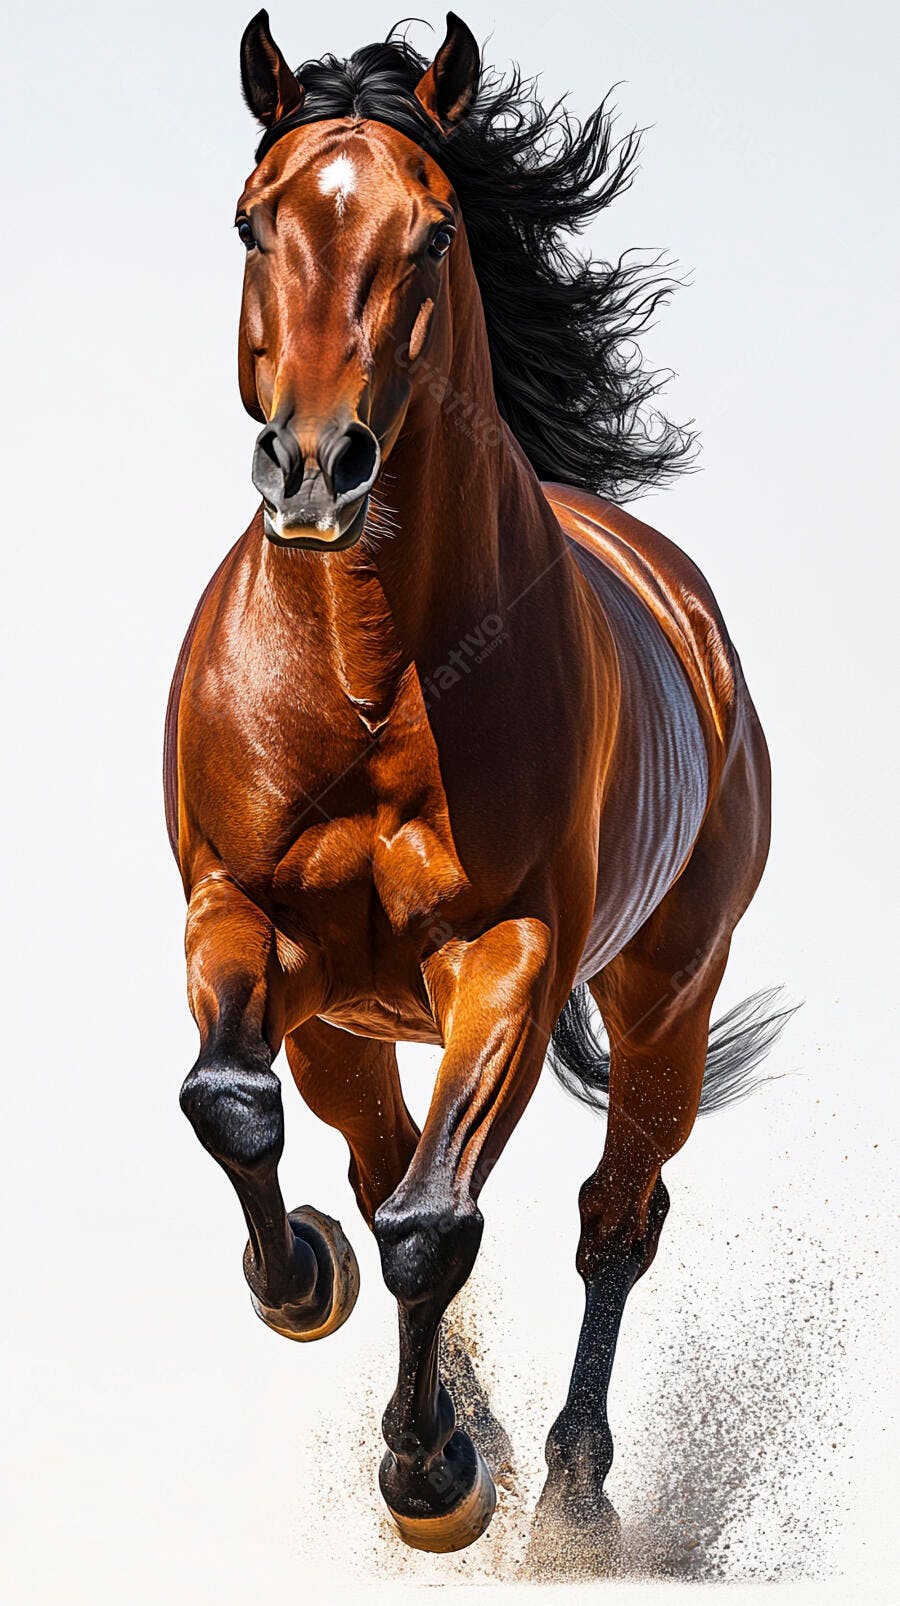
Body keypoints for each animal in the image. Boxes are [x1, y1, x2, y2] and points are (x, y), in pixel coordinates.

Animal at [164, 10, 791, 1568]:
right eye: (252, 221)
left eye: (435, 231)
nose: (315, 466)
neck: (374, 667)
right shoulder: (240, 912)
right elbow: (235, 1106)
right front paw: (302, 1280)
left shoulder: (507, 954)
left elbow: (439, 1224)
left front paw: (433, 1476)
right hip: (344, 1017)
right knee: (373, 1155)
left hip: (668, 994)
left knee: (616, 1214)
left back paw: (565, 1490)